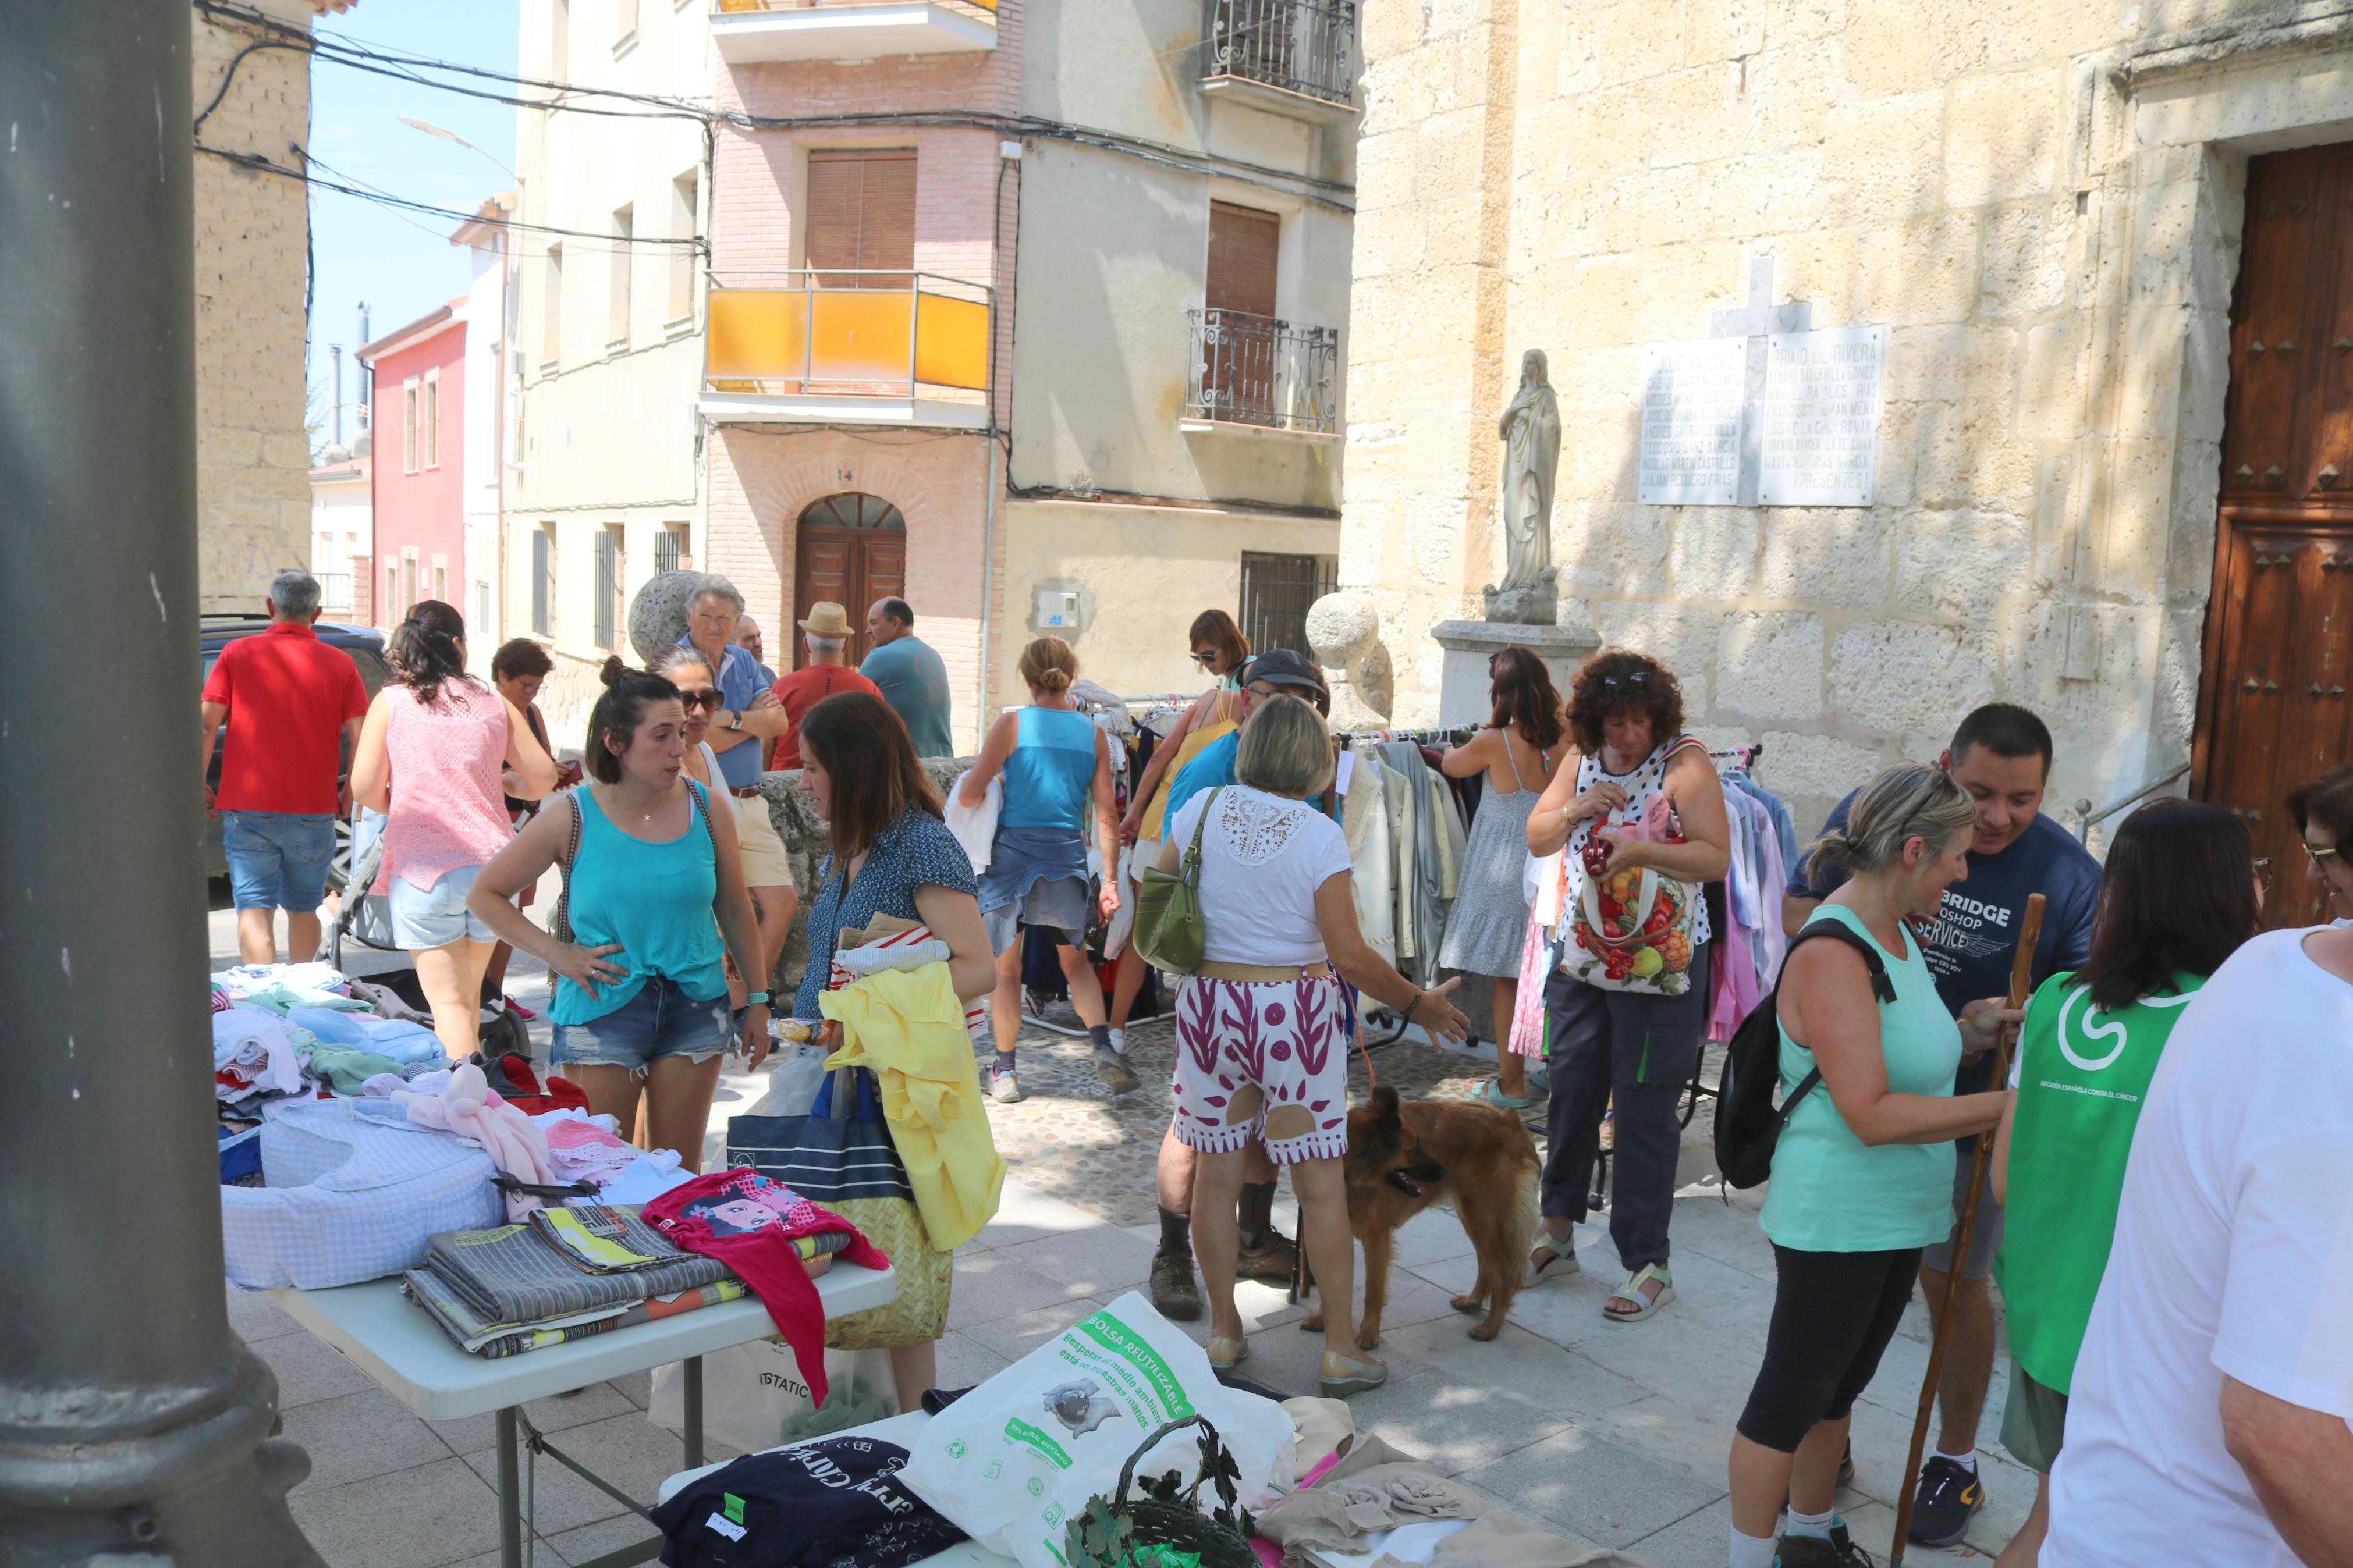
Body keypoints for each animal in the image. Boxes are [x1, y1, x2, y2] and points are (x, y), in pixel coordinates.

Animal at [1308, 1086, 1543, 1345]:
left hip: (1481, 1214)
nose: (1443, 1172)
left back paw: (1491, 1328)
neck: (1352, 1169)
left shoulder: (1377, 1240)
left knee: (1501, 1275)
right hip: (1472, 1214)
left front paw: (1369, 1334)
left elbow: (1373, 1291)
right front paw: (1323, 1318)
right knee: (1486, 1264)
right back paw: (1474, 1302)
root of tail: (1513, 1123)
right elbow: (1331, 1279)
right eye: (1414, 1150)